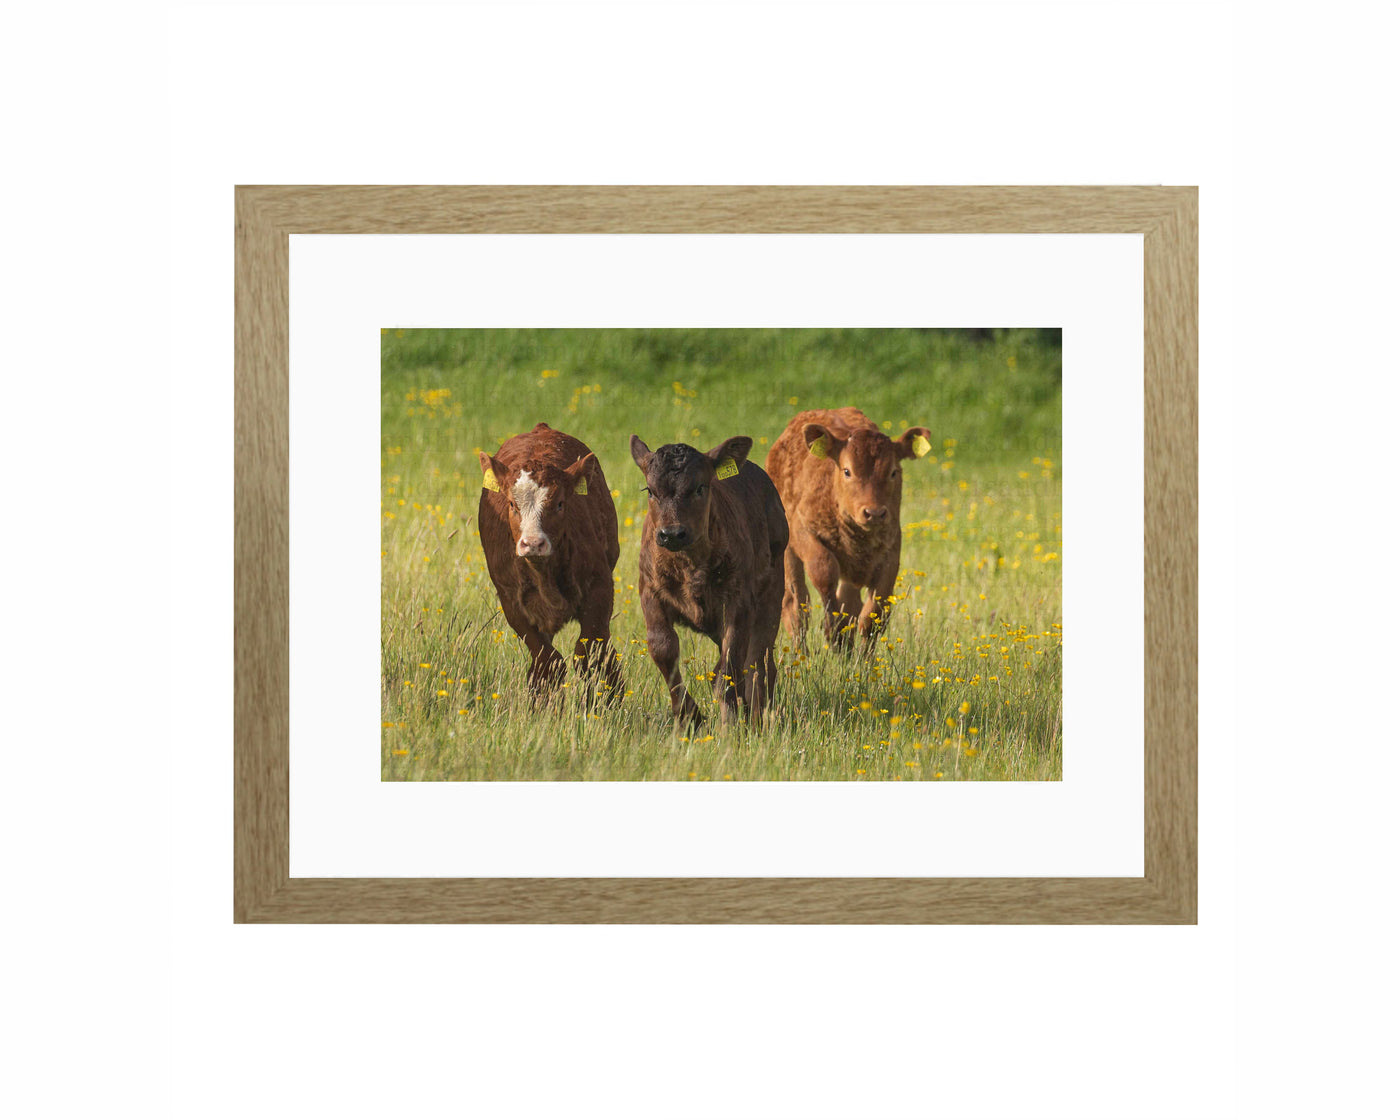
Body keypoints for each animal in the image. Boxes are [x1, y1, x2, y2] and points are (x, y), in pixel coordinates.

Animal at [476, 422, 622, 702]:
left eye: (560, 504)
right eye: (512, 504)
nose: (533, 543)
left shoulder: (600, 586)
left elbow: (590, 651)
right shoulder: (511, 601)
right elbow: (547, 661)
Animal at [630, 434, 788, 728]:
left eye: (700, 487)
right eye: (650, 491)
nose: (672, 533)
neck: (690, 566)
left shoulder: (738, 602)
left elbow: (731, 662)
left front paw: (730, 725)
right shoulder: (650, 592)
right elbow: (663, 649)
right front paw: (690, 716)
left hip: (772, 592)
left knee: (759, 660)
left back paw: (759, 716)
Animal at [764, 407, 932, 651]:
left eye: (893, 472)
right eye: (847, 471)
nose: (874, 513)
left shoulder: (890, 553)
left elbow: (873, 614)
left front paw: (861, 657)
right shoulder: (803, 531)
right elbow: (824, 572)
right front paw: (834, 633)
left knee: (849, 601)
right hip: (786, 550)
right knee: (795, 604)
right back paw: (801, 653)